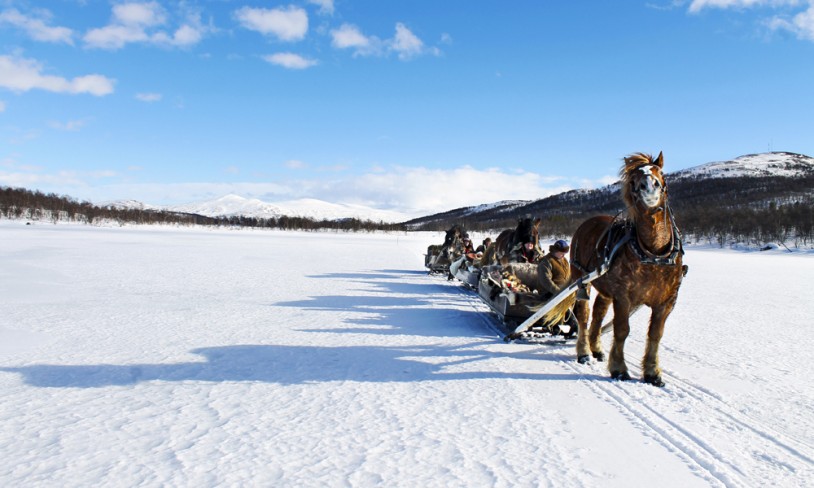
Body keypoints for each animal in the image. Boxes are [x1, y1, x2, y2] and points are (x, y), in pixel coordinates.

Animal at [568, 151, 688, 386]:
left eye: (661, 175)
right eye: (633, 180)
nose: (649, 187)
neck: (654, 255)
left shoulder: (667, 301)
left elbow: (655, 334)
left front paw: (652, 372)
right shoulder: (623, 297)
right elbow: (622, 330)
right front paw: (619, 369)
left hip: (605, 288)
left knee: (598, 314)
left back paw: (596, 349)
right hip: (581, 280)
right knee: (584, 315)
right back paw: (584, 352)